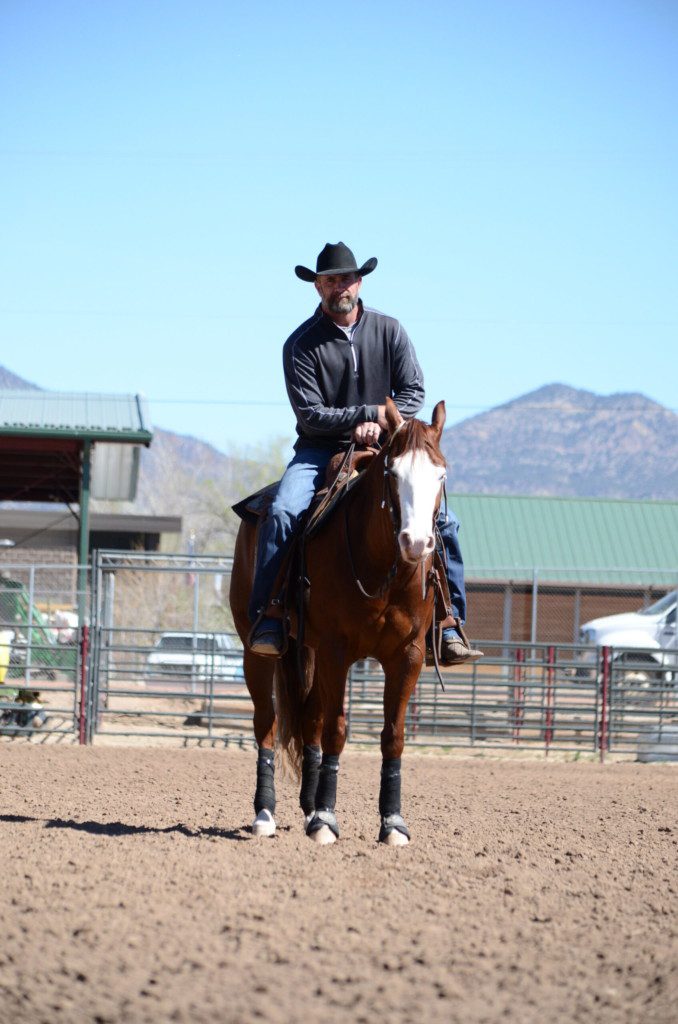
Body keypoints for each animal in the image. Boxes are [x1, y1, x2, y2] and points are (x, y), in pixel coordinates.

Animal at [231, 395, 448, 843]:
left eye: (440, 474)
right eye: (393, 472)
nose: (416, 543)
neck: (382, 571)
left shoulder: (409, 657)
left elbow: (393, 737)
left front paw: (392, 823)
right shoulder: (337, 652)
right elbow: (337, 729)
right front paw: (326, 821)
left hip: (309, 651)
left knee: (309, 720)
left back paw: (308, 804)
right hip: (255, 651)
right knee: (267, 722)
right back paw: (265, 813)